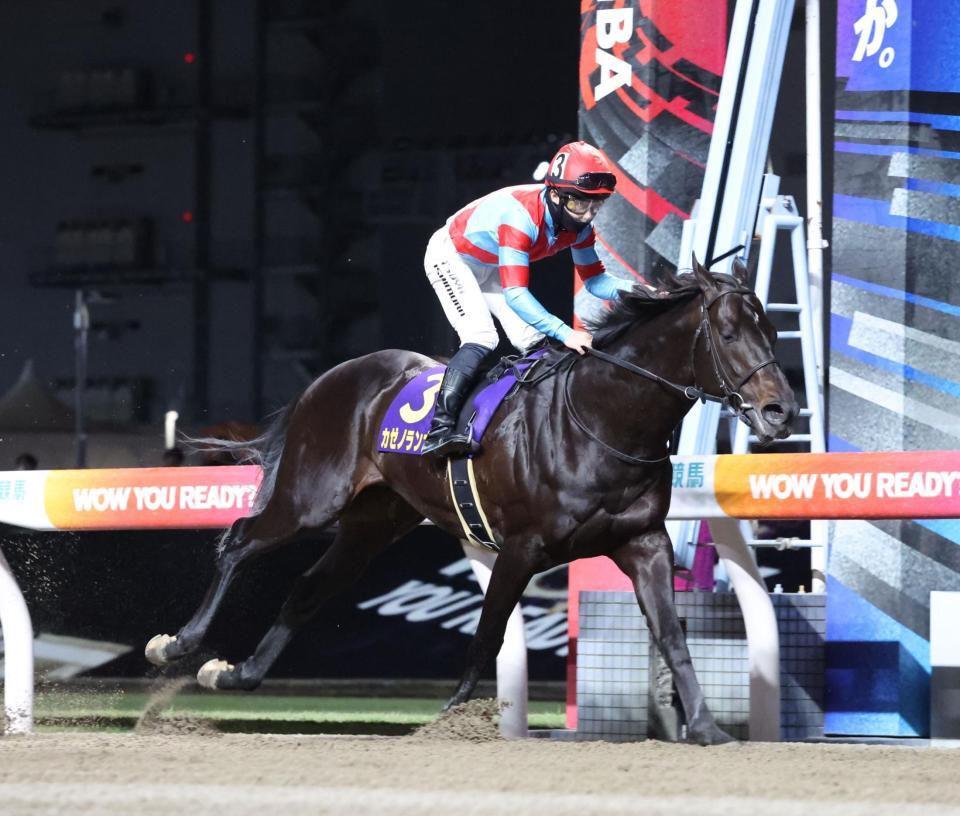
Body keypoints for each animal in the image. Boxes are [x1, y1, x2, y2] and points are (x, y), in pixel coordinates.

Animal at [145, 256, 797, 745]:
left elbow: (673, 637)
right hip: (312, 498)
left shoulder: (643, 542)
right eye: (730, 334)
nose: (780, 411)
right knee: (239, 540)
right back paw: (179, 643)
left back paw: (236, 675)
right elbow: (489, 631)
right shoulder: (522, 547)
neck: (603, 419)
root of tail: (325, 380)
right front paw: (451, 718)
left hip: (374, 522)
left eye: (771, 331)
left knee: (308, 587)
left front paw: (708, 728)